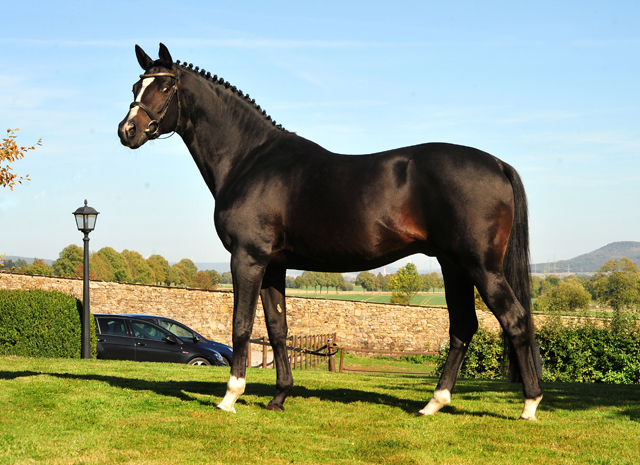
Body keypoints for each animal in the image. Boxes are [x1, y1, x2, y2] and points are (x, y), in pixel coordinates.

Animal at [117, 43, 544, 418]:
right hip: (453, 265)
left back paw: (529, 405)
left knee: (514, 320)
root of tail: (498, 164)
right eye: (136, 85)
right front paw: (278, 398)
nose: (128, 130)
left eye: (165, 86)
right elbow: (277, 328)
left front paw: (230, 397)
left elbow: (241, 326)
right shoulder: (273, 264)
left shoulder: (247, 258)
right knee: (463, 327)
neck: (250, 160)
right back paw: (433, 404)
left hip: (480, 267)